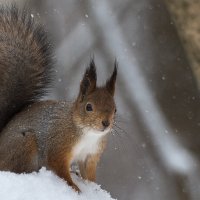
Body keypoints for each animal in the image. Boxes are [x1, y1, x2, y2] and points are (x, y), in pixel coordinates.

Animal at [0, 5, 117, 192]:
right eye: (88, 107)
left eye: (115, 109)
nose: (105, 123)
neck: (87, 132)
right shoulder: (59, 145)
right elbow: (59, 168)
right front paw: (74, 188)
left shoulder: (90, 155)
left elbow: (89, 174)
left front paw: (94, 187)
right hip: (25, 143)